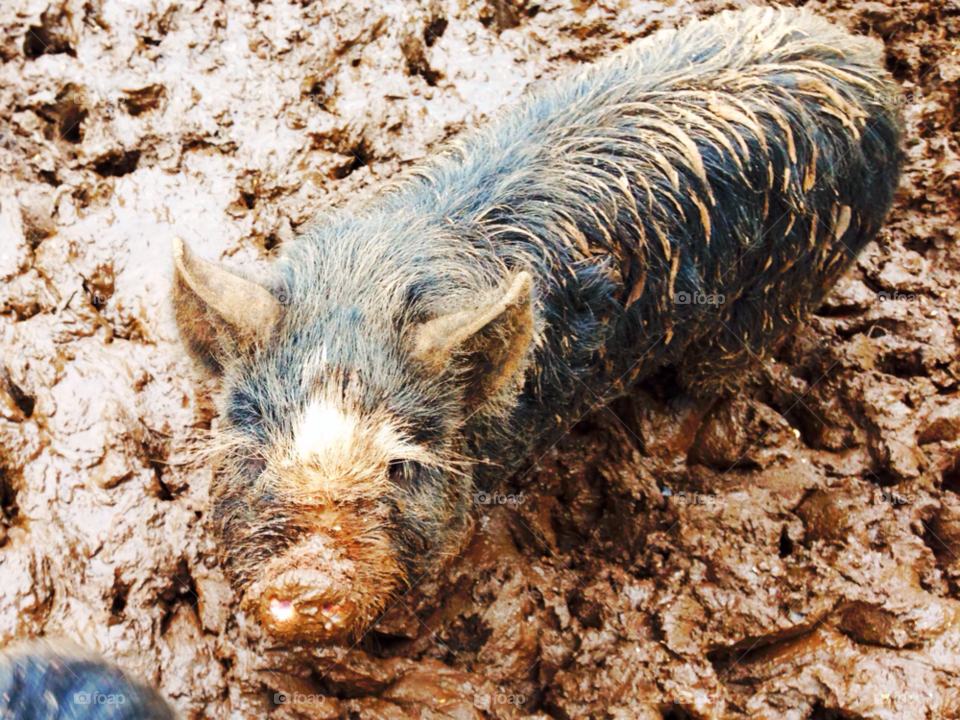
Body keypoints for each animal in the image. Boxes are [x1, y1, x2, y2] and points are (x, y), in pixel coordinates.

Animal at [171, 7, 903, 643]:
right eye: (255, 458)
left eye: (400, 469)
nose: (307, 582)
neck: (369, 281)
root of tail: (869, 63)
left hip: (787, 287)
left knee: (717, 374)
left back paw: (658, 437)